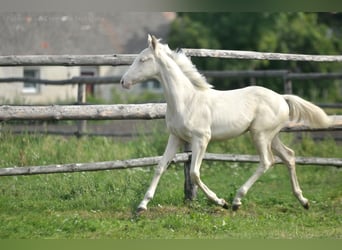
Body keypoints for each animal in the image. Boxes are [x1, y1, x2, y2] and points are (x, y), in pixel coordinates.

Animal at [120, 34, 332, 212]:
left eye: (143, 60)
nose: (123, 81)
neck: (187, 100)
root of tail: (281, 97)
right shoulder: (176, 137)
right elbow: (160, 167)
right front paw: (142, 205)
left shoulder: (201, 139)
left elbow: (194, 173)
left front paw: (220, 201)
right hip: (271, 136)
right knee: (289, 156)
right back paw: (303, 201)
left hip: (260, 134)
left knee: (267, 161)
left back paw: (237, 200)